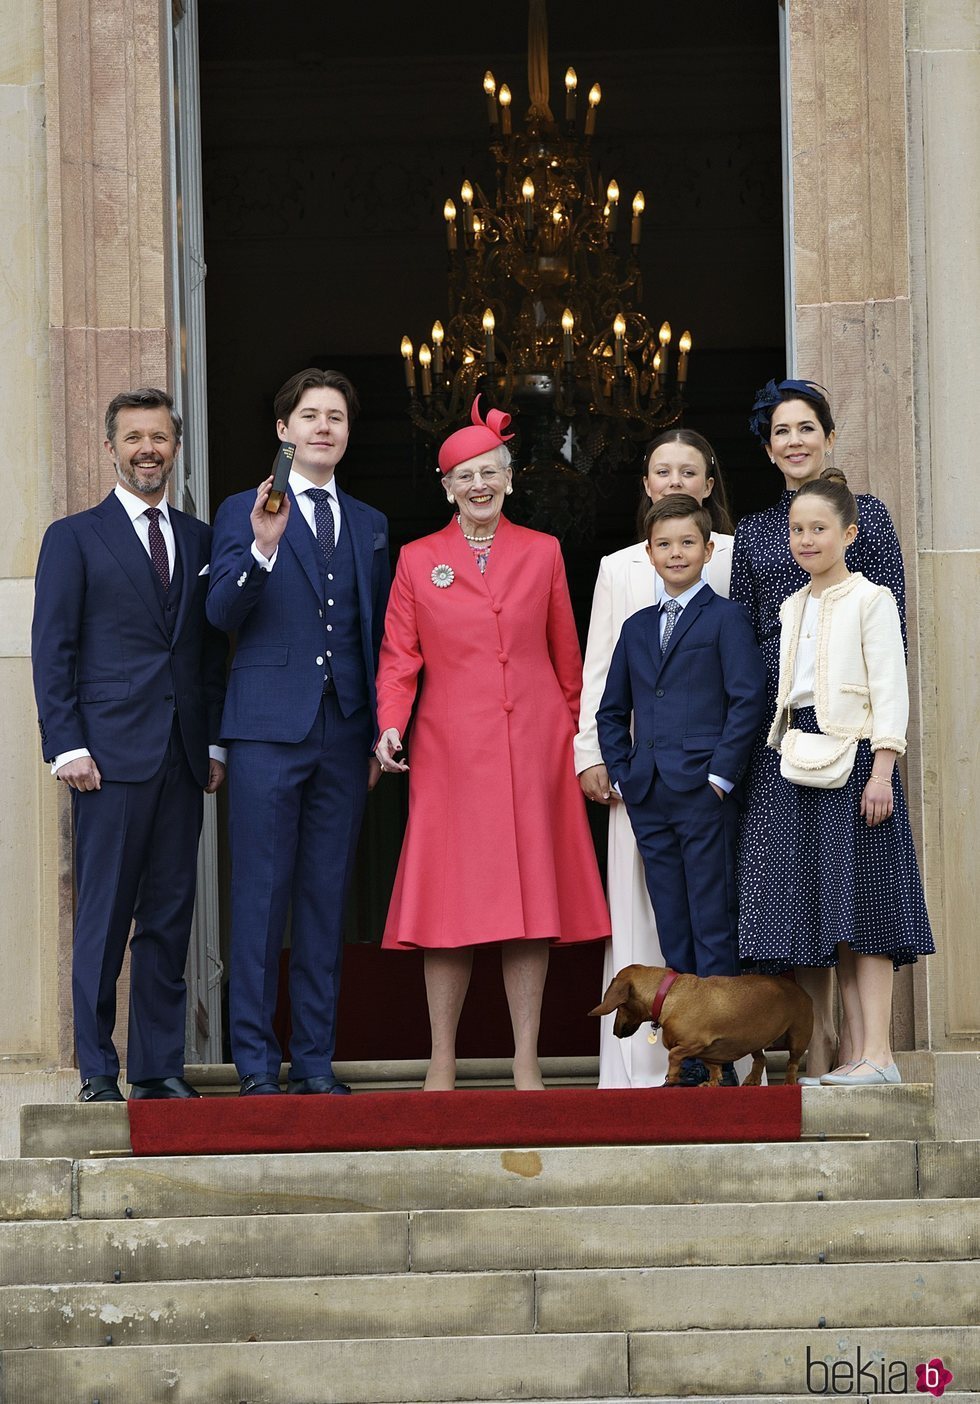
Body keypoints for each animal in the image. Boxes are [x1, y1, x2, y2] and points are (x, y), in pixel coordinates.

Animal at [586, 965, 808, 1083]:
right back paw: (752, 1081)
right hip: (755, 1041)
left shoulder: (692, 1044)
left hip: (797, 1038)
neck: (669, 994)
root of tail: (799, 989)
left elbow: (674, 1057)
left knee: (792, 1063)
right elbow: (712, 1068)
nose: (614, 1032)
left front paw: (672, 1080)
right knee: (761, 1060)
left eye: (620, 1006)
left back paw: (789, 1082)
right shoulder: (705, 1051)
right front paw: (711, 1083)